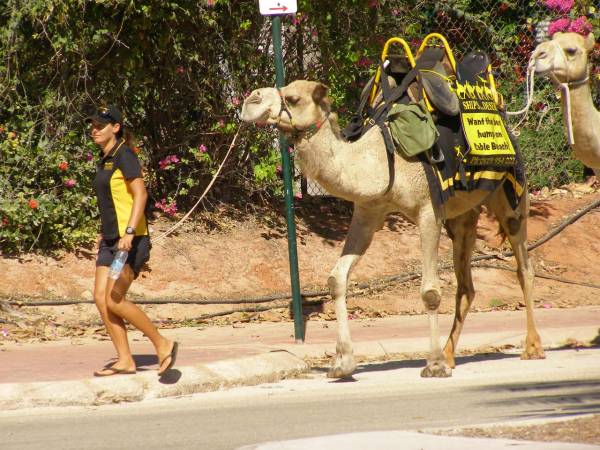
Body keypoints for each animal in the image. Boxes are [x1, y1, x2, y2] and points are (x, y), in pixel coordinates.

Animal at [241, 80, 548, 376]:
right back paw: (449, 355)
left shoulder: (428, 211)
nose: (249, 101)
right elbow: (337, 279)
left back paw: (531, 348)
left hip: (511, 193)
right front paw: (342, 363)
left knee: (523, 267)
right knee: (466, 285)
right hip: (462, 218)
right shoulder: (368, 212)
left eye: (293, 98)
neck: (378, 162)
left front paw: (433, 365)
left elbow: (430, 292)